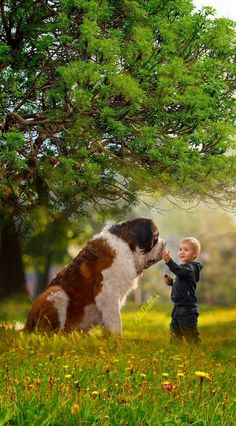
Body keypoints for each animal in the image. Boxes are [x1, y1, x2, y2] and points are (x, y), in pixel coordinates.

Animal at [23, 218, 164, 334]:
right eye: (156, 237)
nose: (165, 243)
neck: (127, 246)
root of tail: (26, 326)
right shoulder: (108, 296)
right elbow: (116, 324)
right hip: (56, 293)